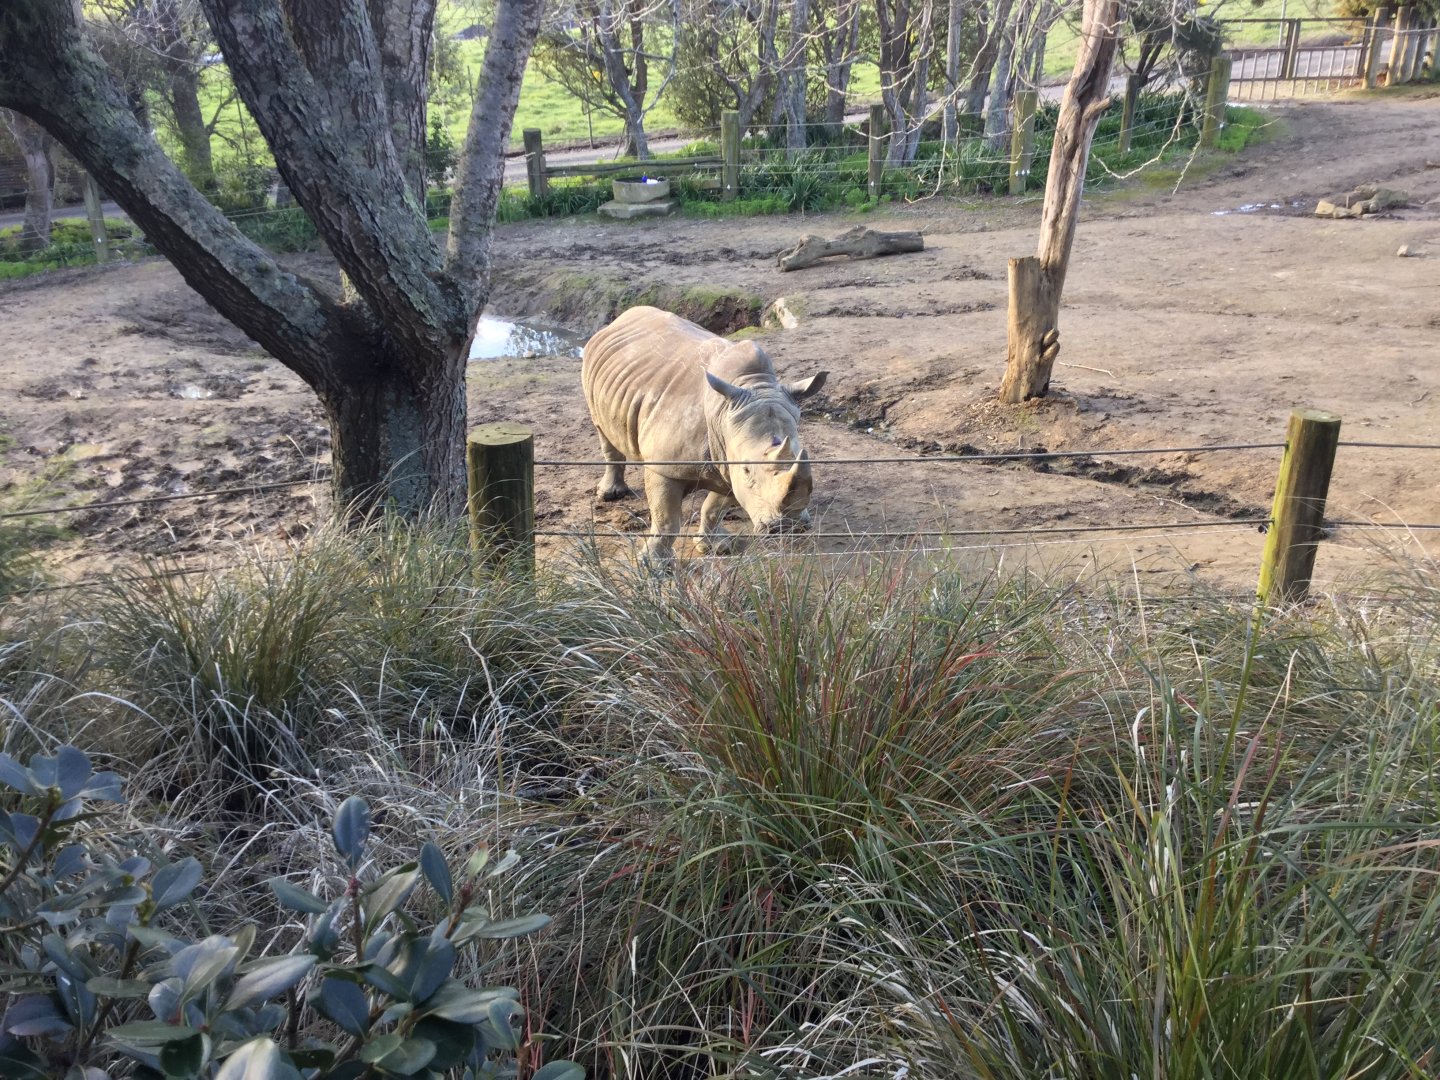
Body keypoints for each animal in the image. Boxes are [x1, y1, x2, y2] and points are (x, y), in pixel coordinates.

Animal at [581, 306, 828, 562]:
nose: (789, 527)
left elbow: (714, 508)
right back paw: (611, 494)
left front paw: (716, 547)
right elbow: (666, 520)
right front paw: (653, 564)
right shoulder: (665, 465)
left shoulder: (728, 459)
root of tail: (621, 319)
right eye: (747, 470)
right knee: (603, 430)